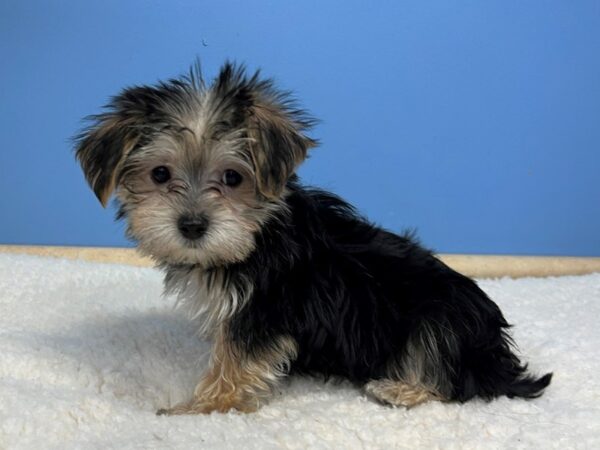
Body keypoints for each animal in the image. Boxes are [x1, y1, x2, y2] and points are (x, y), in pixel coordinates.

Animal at [76, 60, 552, 414]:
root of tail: (498, 354)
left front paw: (204, 406)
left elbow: (236, 357)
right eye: (160, 174)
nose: (192, 226)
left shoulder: (263, 308)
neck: (257, 235)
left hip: (442, 321)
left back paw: (400, 388)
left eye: (232, 177)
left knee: (457, 382)